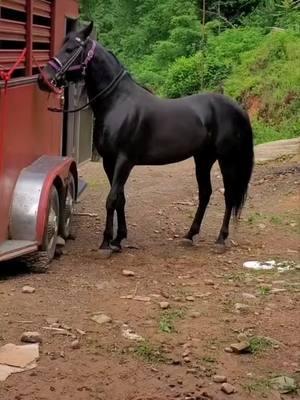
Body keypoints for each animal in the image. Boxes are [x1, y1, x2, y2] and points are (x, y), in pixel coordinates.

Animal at [37, 21, 253, 252]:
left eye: (70, 49)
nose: (43, 79)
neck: (119, 103)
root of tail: (236, 107)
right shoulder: (109, 161)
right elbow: (120, 199)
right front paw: (118, 239)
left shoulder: (124, 161)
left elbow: (111, 199)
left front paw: (106, 242)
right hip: (203, 158)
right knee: (205, 193)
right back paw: (189, 235)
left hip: (226, 159)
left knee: (229, 195)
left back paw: (221, 239)